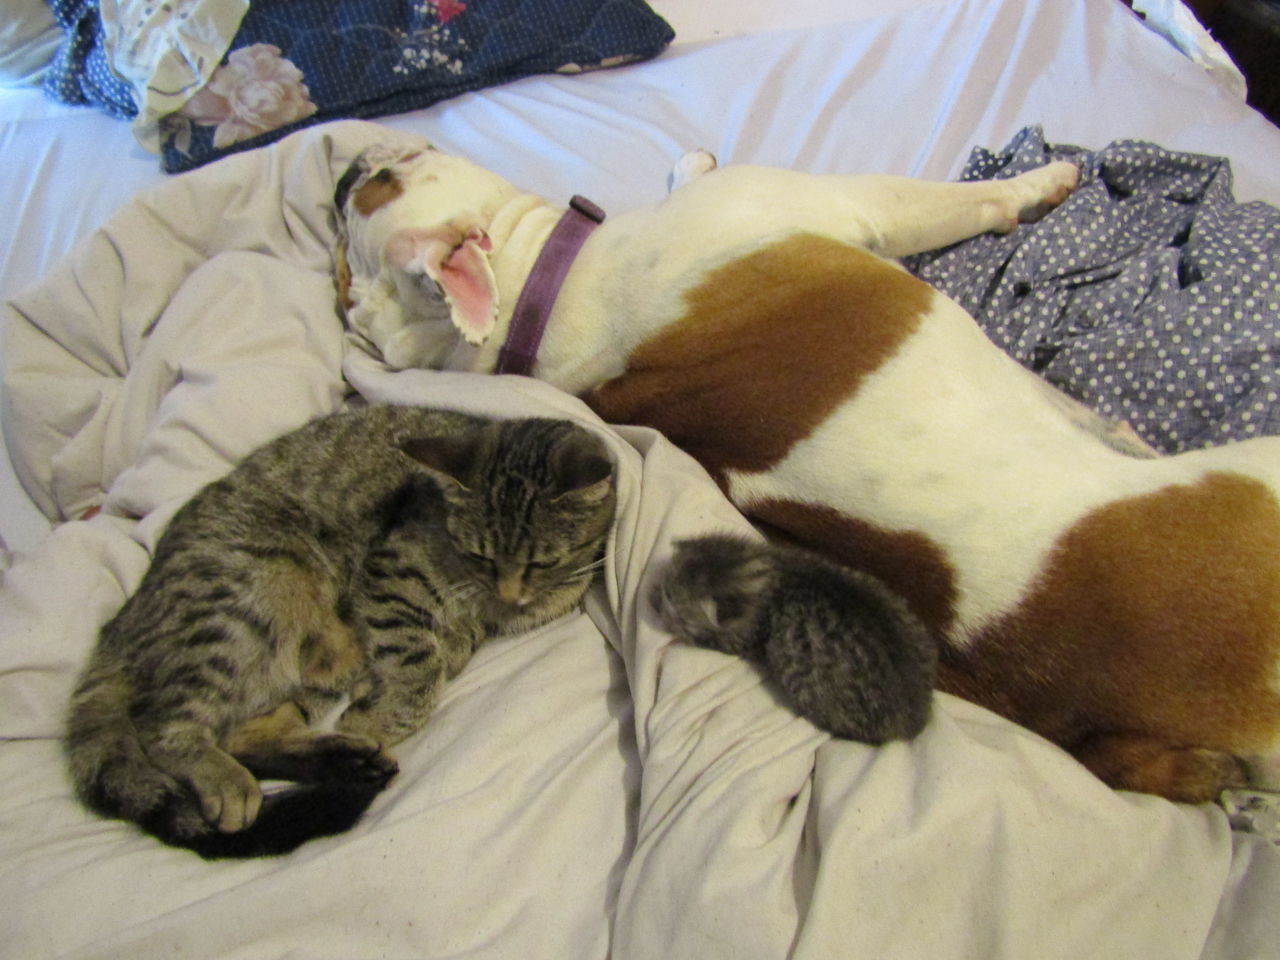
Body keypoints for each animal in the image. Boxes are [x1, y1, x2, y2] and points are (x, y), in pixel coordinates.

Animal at [64, 404, 614, 855]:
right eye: (480, 554)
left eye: (545, 561)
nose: (508, 592)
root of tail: (118, 624)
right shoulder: (392, 575)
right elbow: (420, 667)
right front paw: (381, 715)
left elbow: (446, 653)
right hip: (242, 608)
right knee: (163, 725)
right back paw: (230, 783)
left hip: (307, 667)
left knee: (247, 734)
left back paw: (347, 762)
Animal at [655, 537, 936, 747]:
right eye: (665, 589)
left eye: (670, 599)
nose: (656, 602)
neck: (774, 574)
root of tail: (915, 719)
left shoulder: (745, 640)